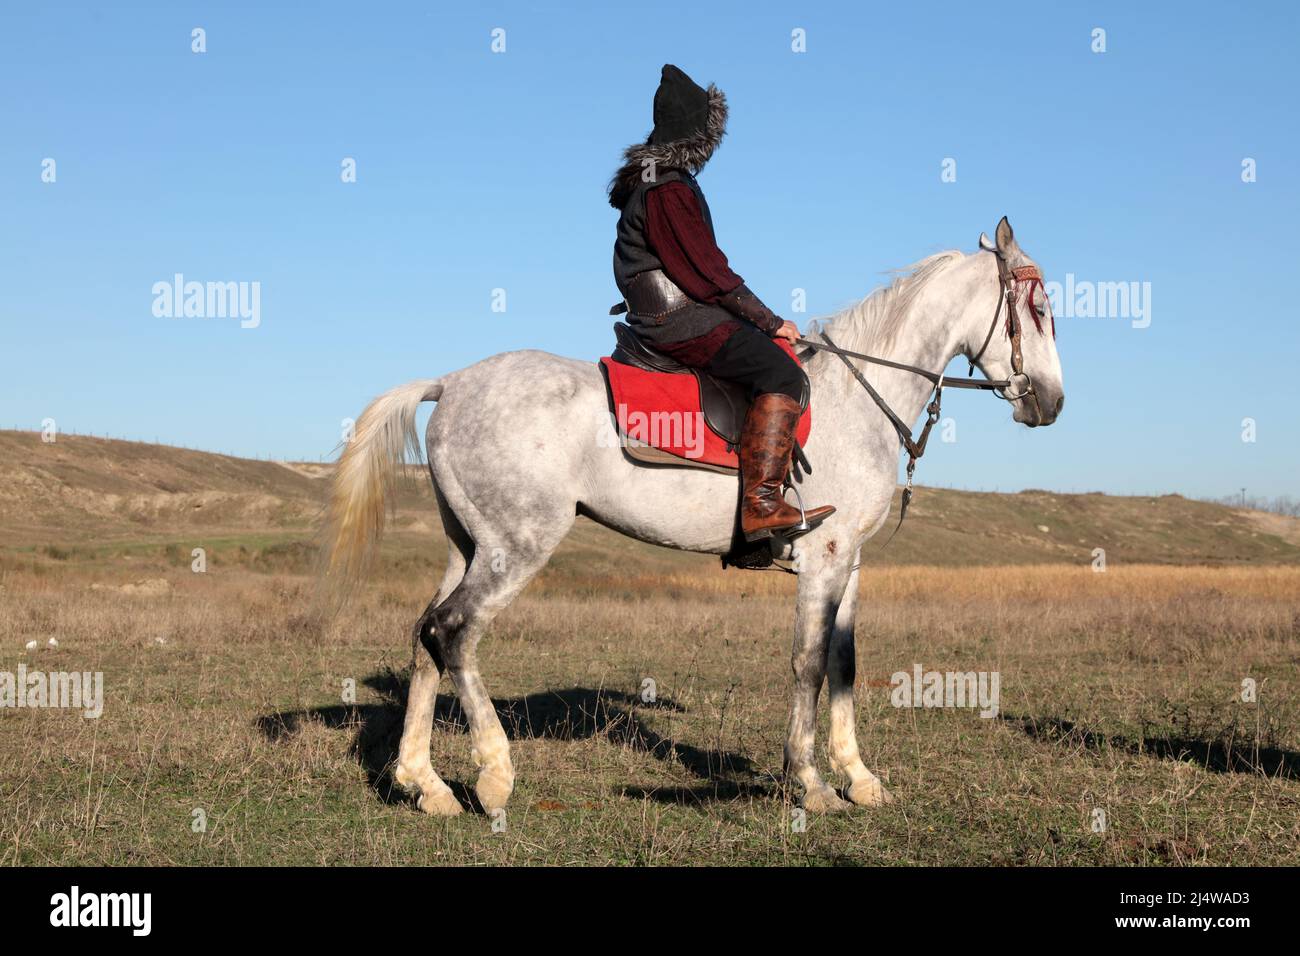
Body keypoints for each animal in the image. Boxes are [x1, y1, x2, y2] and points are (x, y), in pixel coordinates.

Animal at [320, 217, 1065, 815]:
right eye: (1037, 307)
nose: (1051, 402)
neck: (860, 393)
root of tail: (450, 385)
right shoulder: (821, 564)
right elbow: (808, 664)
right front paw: (813, 785)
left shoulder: (849, 563)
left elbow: (845, 665)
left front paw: (860, 779)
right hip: (516, 546)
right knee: (455, 632)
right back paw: (495, 776)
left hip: (467, 545)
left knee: (425, 636)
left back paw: (426, 785)